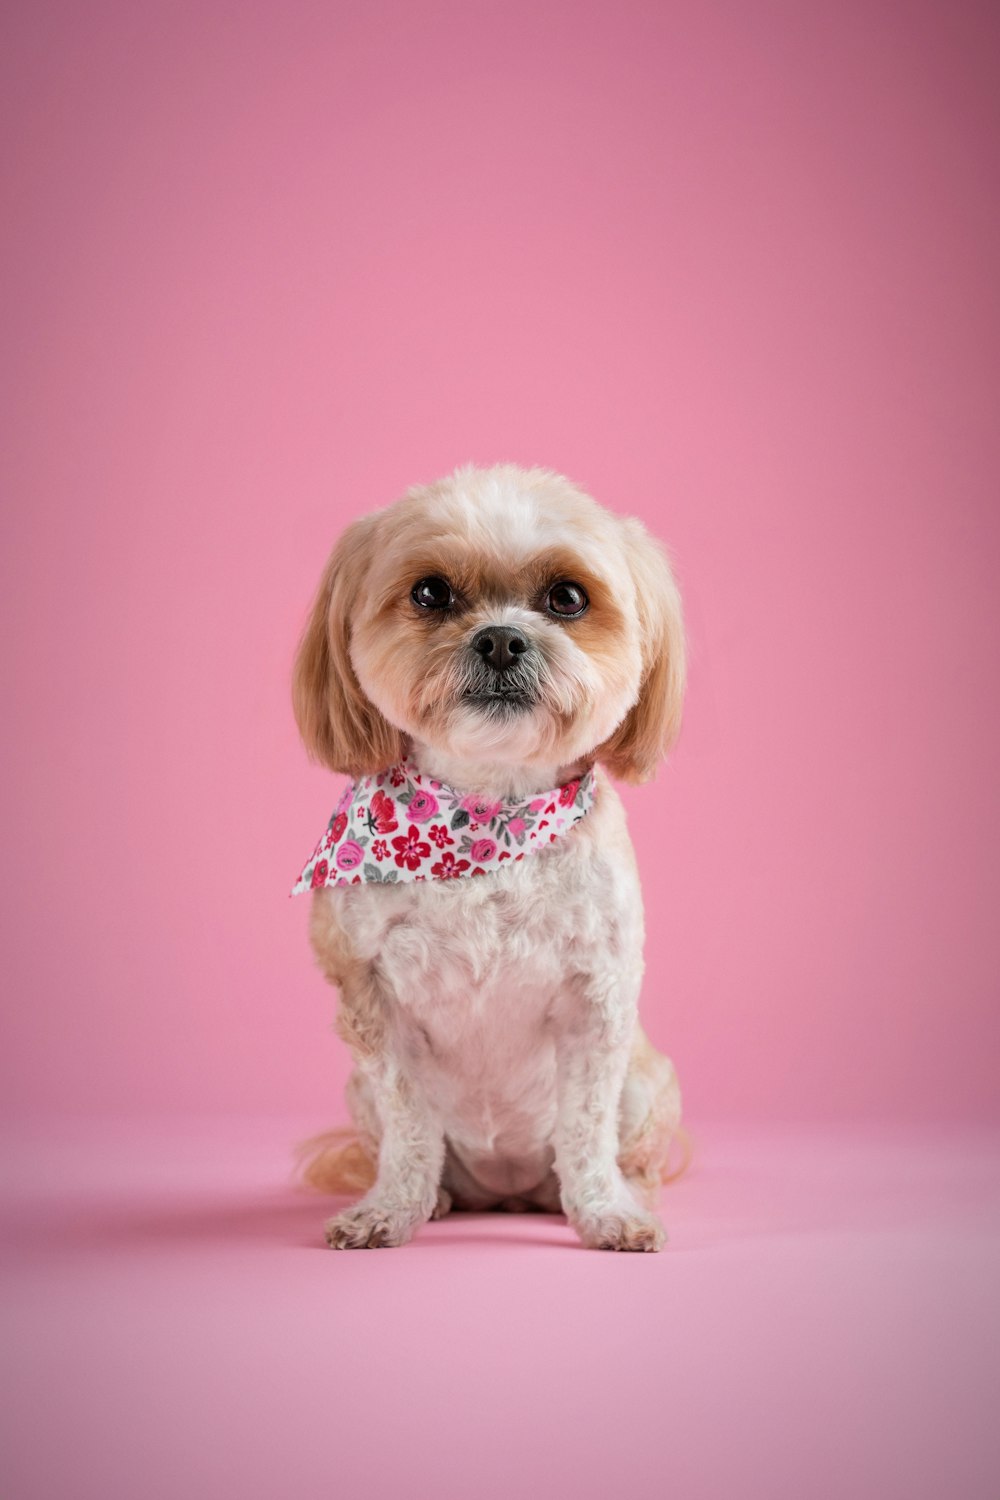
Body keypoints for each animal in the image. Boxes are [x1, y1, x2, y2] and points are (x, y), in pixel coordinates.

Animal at [289, 462, 689, 1248]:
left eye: (567, 598)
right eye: (430, 593)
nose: (501, 640)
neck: (482, 819)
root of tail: (507, 1191)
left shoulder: (599, 1002)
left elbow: (587, 1131)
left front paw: (606, 1214)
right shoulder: (372, 1001)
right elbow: (409, 1129)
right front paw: (391, 1209)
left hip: (645, 1083)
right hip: (357, 1096)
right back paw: (442, 1199)